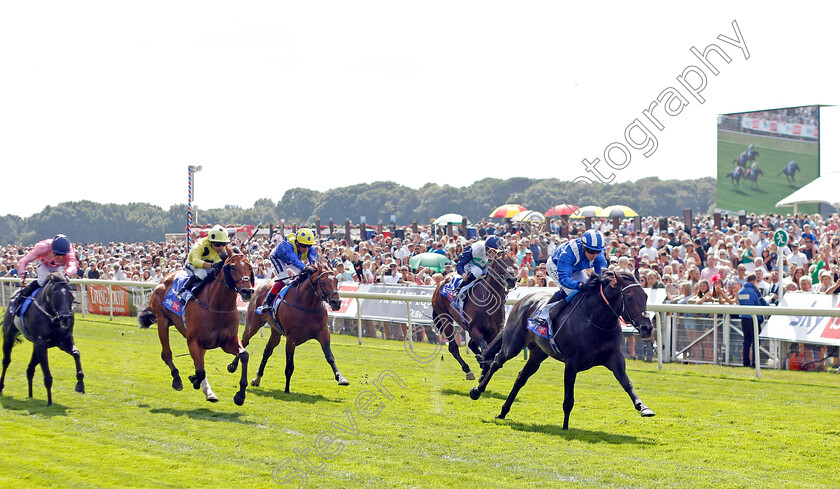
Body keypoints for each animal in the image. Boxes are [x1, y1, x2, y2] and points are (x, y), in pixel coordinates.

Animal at [1, 270, 84, 404]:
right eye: (55, 295)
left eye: (71, 296)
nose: (65, 318)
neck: (52, 316)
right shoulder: (41, 342)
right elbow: (47, 374)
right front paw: (49, 401)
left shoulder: (64, 341)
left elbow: (76, 354)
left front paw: (80, 384)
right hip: (9, 336)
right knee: (6, 361)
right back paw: (1, 386)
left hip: (35, 346)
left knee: (30, 369)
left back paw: (30, 394)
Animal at [138, 252, 254, 404]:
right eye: (233, 267)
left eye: (250, 267)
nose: (248, 291)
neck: (217, 307)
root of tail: (164, 278)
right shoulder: (193, 341)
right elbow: (200, 371)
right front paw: (193, 380)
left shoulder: (227, 342)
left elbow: (244, 355)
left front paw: (240, 395)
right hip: (162, 320)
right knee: (166, 354)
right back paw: (177, 379)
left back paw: (209, 392)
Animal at [226, 264, 348, 392]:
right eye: (323, 282)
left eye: (336, 280)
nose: (336, 302)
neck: (307, 306)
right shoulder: (291, 338)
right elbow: (289, 365)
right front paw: (287, 389)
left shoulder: (323, 333)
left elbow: (330, 357)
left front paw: (341, 378)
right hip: (253, 324)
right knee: (245, 341)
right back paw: (233, 366)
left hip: (276, 332)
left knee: (267, 351)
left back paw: (257, 378)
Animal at [470, 268, 652, 428]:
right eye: (628, 297)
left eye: (645, 296)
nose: (647, 327)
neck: (595, 320)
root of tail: (522, 300)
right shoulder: (571, 362)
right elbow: (568, 399)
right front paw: (565, 427)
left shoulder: (614, 357)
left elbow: (626, 383)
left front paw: (643, 407)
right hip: (513, 344)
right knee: (496, 363)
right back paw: (477, 391)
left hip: (538, 353)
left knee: (521, 378)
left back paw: (503, 412)